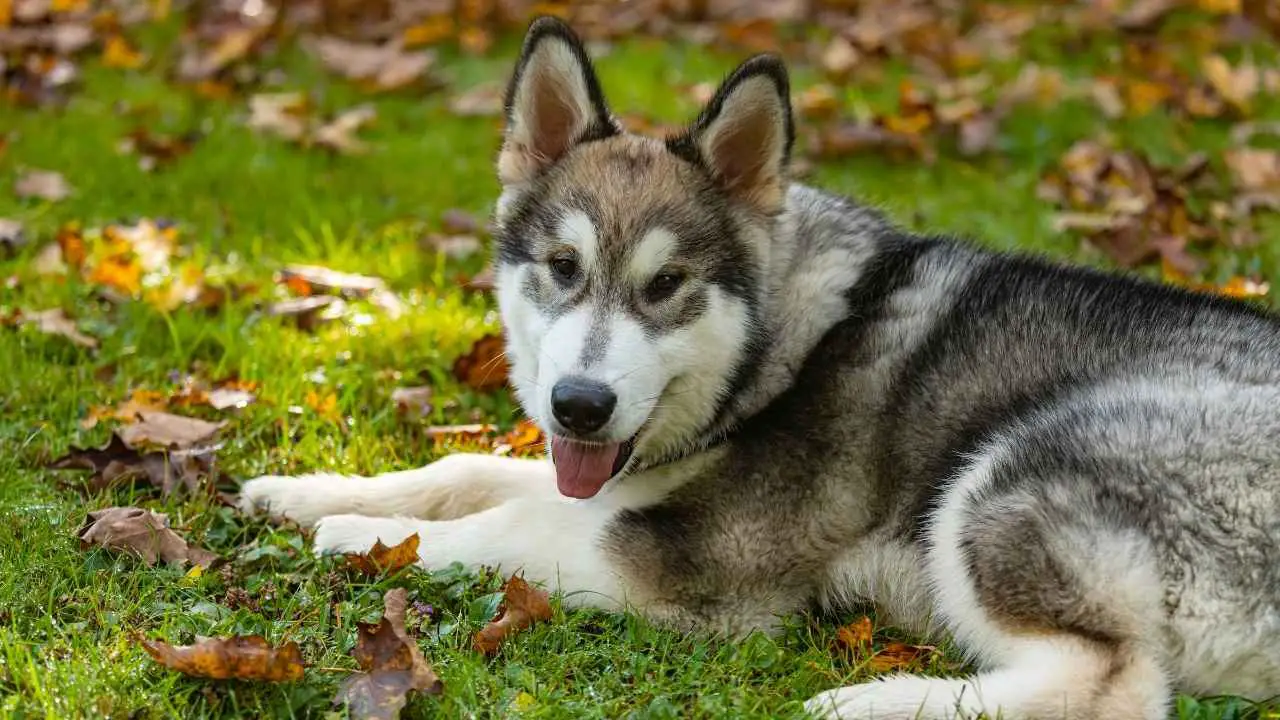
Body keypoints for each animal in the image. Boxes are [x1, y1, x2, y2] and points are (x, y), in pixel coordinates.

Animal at [240, 16, 1280, 717]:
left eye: (667, 284)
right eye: (564, 268)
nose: (579, 406)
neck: (779, 348)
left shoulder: (692, 567)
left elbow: (515, 524)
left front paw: (359, 535)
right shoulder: (613, 476)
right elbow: (471, 470)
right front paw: (307, 490)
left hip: (1004, 476)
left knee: (1116, 682)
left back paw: (865, 703)